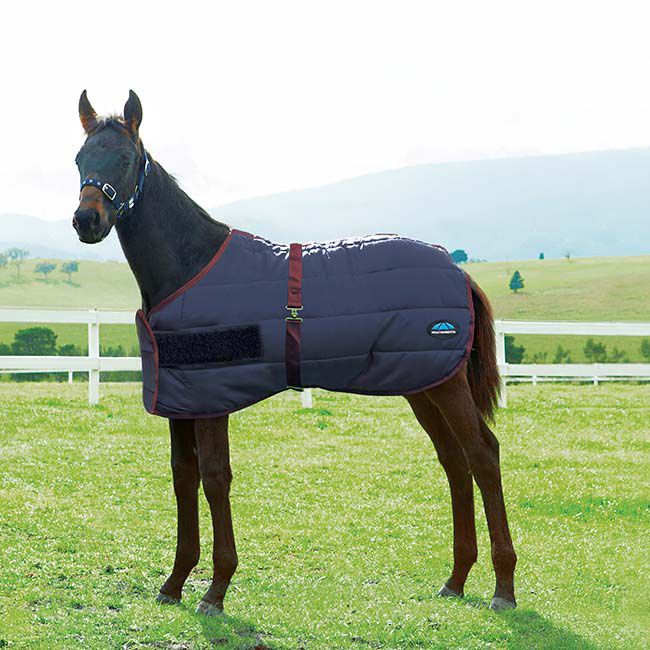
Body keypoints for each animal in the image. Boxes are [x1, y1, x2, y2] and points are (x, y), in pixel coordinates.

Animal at [72, 90, 517, 615]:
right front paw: (175, 582)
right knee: (455, 461)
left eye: (124, 159)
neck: (191, 265)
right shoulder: (181, 400)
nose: (86, 221)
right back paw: (456, 579)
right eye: (79, 158)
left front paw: (216, 589)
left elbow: (214, 477)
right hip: (422, 385)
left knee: (482, 454)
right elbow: (183, 477)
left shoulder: (212, 401)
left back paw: (504, 588)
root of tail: (458, 271)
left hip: (445, 386)